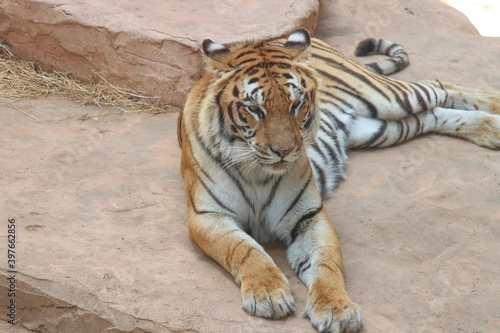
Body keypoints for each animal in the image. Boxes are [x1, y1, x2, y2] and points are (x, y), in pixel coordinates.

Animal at [177, 29, 500, 332]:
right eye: (254, 109)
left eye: (296, 104)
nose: (284, 151)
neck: (258, 171)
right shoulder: (208, 216)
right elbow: (246, 252)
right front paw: (267, 293)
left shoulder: (309, 216)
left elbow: (326, 264)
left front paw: (336, 309)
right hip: (383, 129)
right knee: (433, 113)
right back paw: (489, 130)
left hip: (389, 98)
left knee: (438, 85)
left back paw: (494, 111)